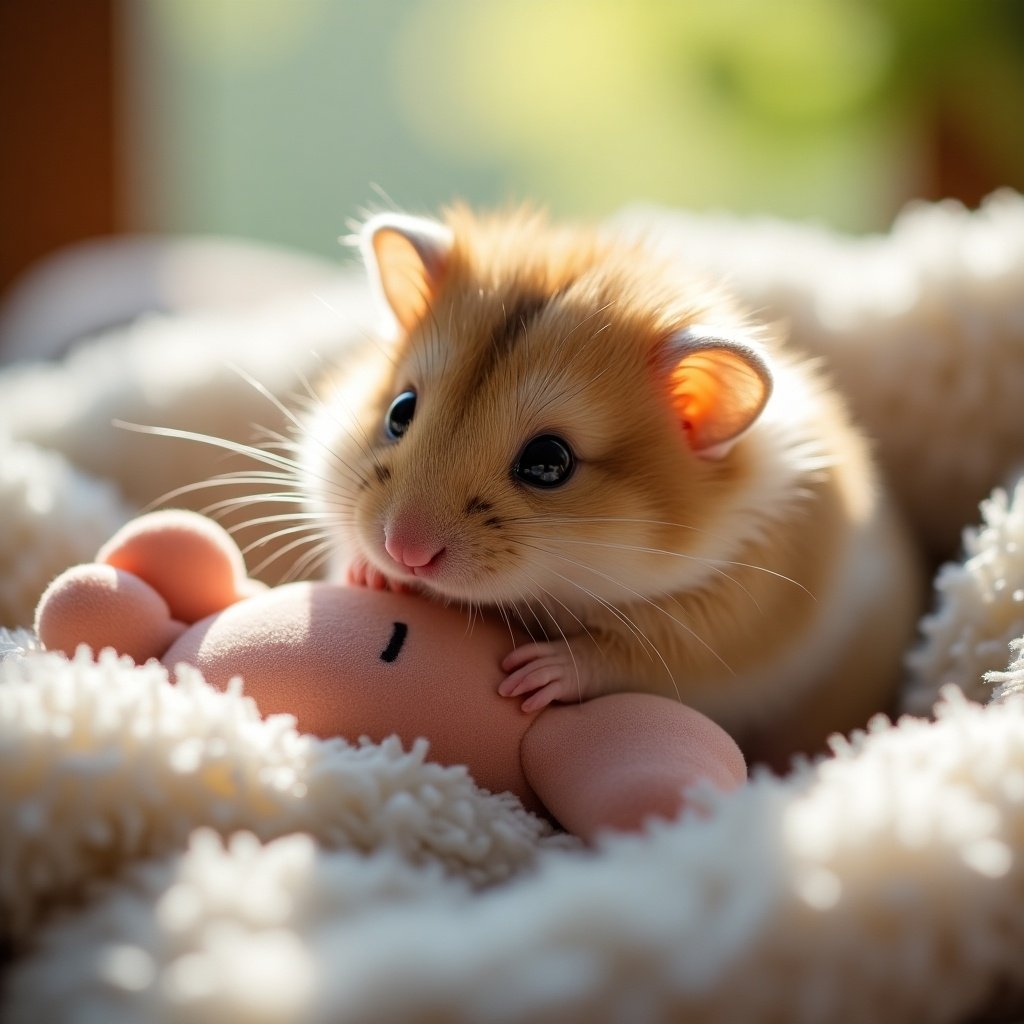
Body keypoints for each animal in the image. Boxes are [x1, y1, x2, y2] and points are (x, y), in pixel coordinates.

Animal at [301, 203, 921, 761]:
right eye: (399, 411)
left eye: (549, 462)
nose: (402, 553)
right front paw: (370, 577)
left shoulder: (718, 627)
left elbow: (623, 655)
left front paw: (530, 676)